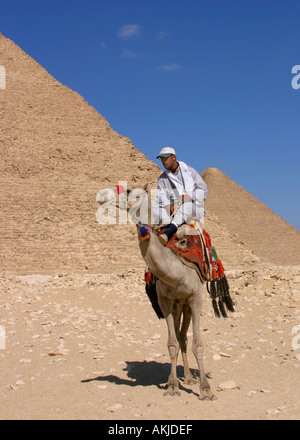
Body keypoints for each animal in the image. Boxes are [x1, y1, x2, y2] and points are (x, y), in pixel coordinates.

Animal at [97, 182, 221, 398]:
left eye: (129, 191)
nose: (101, 195)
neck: (176, 271)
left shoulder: (196, 298)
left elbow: (198, 344)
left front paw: (205, 389)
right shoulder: (165, 301)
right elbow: (171, 343)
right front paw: (172, 385)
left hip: (187, 304)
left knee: (185, 337)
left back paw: (192, 377)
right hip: (178, 305)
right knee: (181, 337)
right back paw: (186, 377)